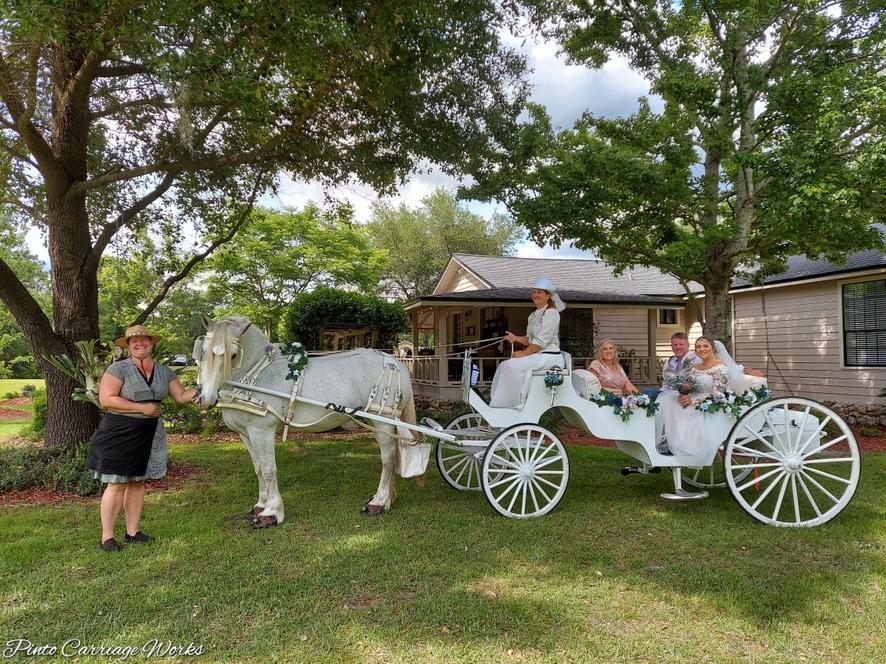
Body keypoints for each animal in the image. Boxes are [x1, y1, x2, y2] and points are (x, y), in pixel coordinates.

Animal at [194, 315, 418, 527]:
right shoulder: (246, 433)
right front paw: (260, 505)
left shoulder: (261, 431)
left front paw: (271, 513)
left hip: (383, 420)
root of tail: (394, 362)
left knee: (388, 458)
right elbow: (258, 469)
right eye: (203, 352)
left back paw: (379, 502)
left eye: (232, 355)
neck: (257, 374)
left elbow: (268, 469)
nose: (205, 399)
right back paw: (388, 499)